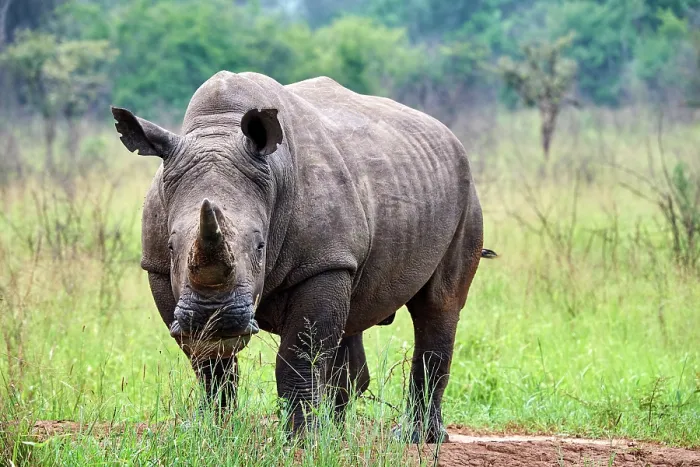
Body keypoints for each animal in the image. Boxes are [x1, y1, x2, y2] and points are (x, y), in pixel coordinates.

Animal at [111, 71, 485, 443]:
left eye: (260, 246)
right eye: (172, 247)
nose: (213, 318)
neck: (220, 128)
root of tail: (450, 136)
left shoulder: (321, 263)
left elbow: (299, 354)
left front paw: (301, 439)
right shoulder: (159, 269)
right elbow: (208, 364)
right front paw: (211, 430)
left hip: (465, 193)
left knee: (438, 305)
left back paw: (417, 438)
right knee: (351, 320)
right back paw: (336, 433)